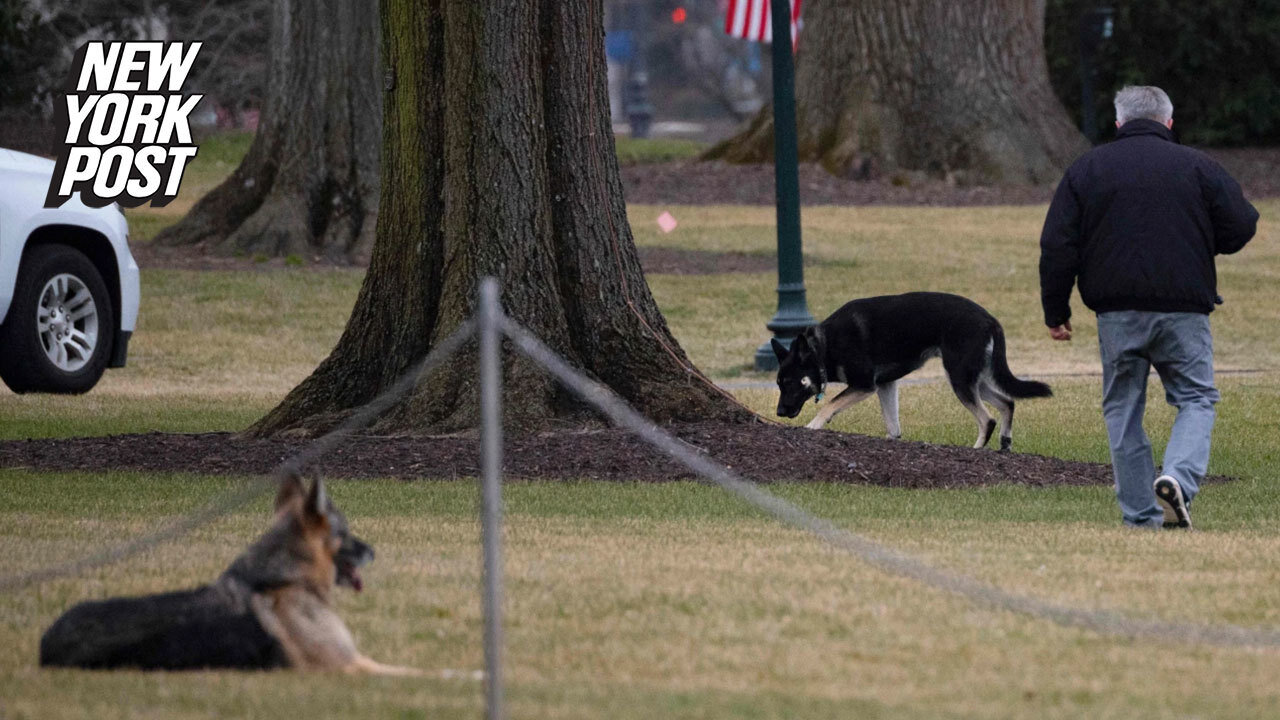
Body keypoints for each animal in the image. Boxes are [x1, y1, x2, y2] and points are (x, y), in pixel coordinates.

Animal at [768, 289, 1049, 448]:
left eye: (790, 383)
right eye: (779, 384)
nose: (779, 412)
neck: (823, 347)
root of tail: (991, 320)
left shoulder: (864, 385)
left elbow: (829, 405)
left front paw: (812, 427)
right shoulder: (885, 385)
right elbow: (893, 426)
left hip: (959, 377)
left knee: (987, 419)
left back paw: (977, 449)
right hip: (973, 378)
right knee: (1007, 402)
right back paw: (1005, 443)